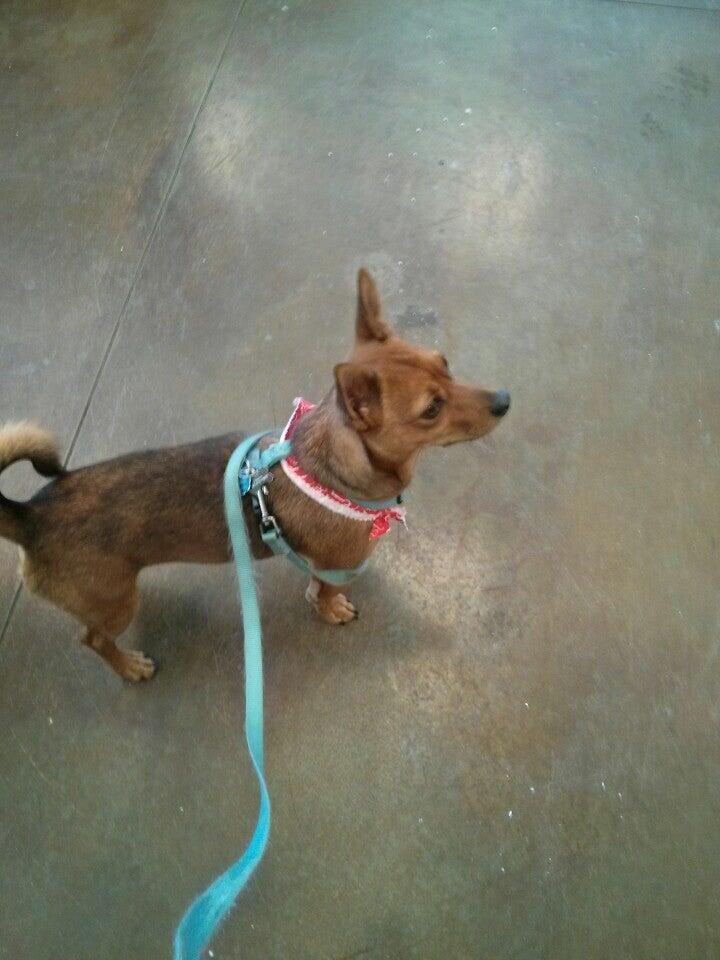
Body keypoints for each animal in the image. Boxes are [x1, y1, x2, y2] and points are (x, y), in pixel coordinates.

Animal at [0, 269, 510, 682]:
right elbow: (326, 588)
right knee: (92, 640)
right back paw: (128, 667)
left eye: (445, 364)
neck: (335, 470)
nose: (505, 400)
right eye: (431, 409)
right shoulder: (331, 564)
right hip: (115, 603)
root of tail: (29, 515)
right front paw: (330, 609)